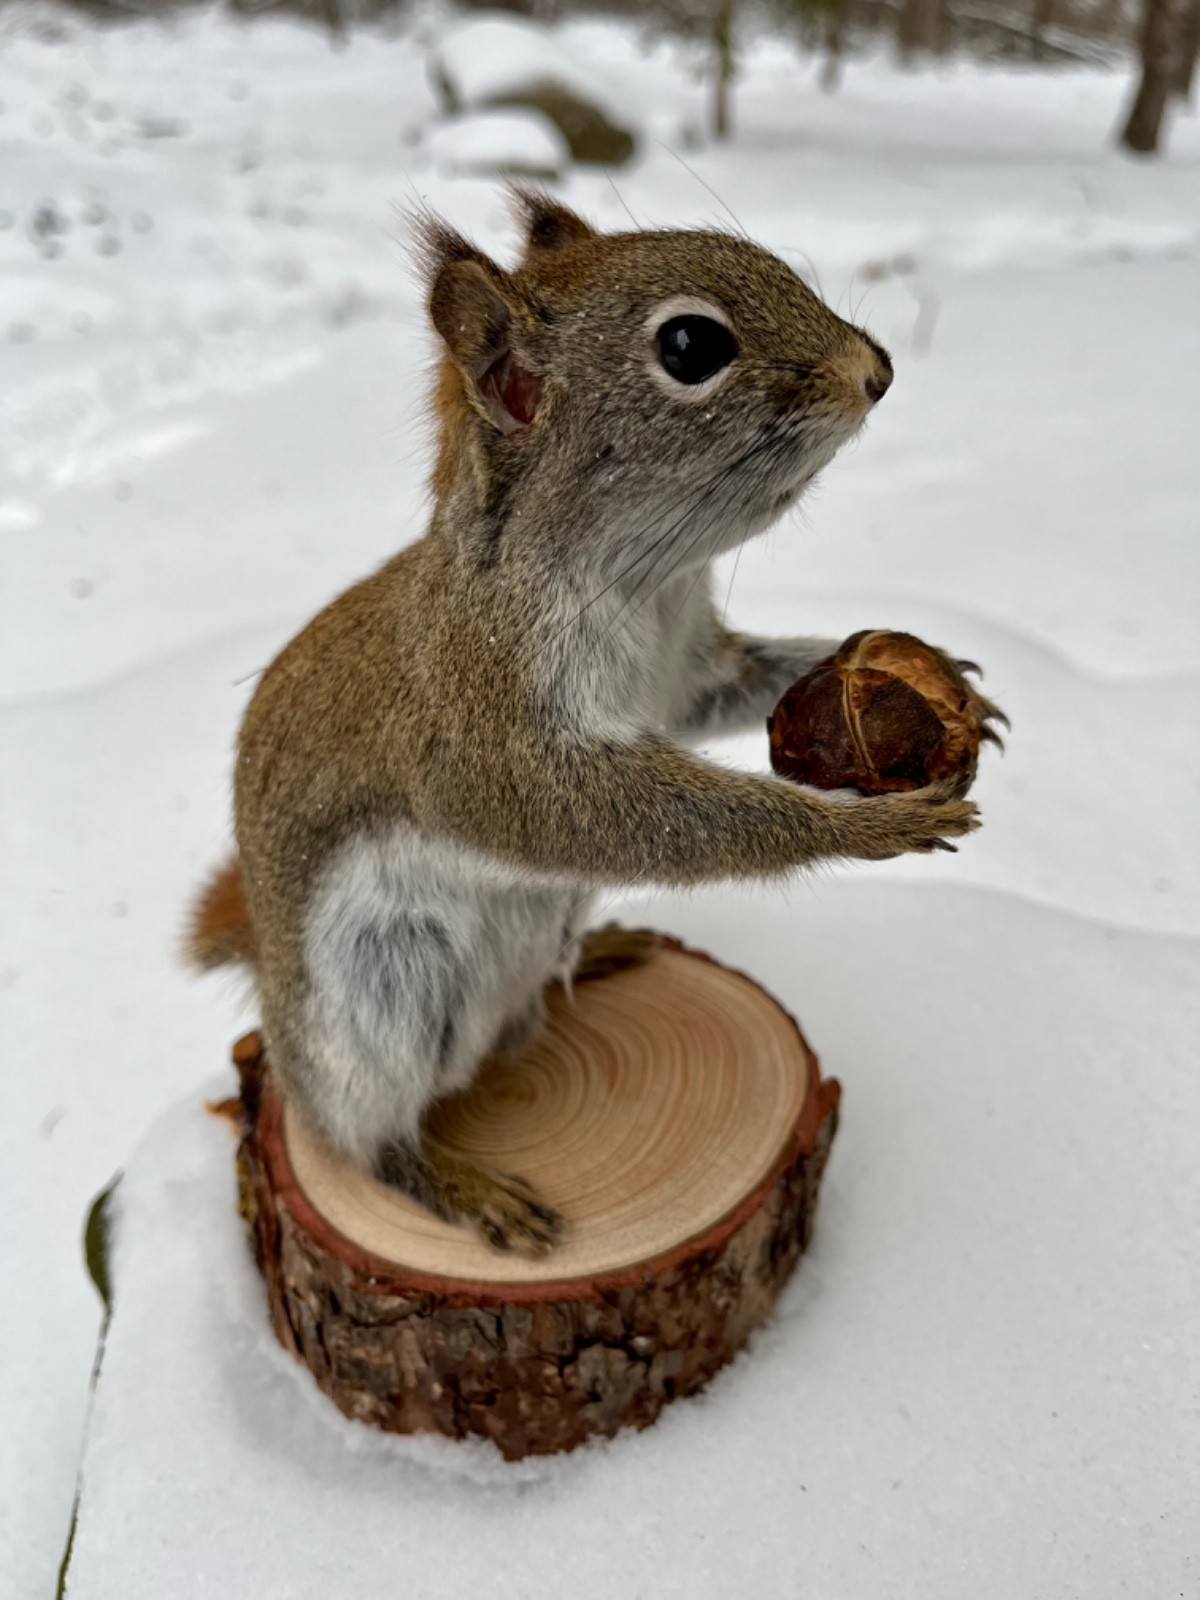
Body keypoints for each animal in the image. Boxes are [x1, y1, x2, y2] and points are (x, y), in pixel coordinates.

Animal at [188, 189, 995, 1256]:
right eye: (691, 346)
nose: (878, 371)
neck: (642, 581)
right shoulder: (484, 717)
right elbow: (594, 816)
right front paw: (861, 825)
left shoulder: (686, 674)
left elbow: (735, 691)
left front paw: (949, 684)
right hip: (374, 1007)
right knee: (364, 1139)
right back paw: (457, 1181)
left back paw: (597, 955)